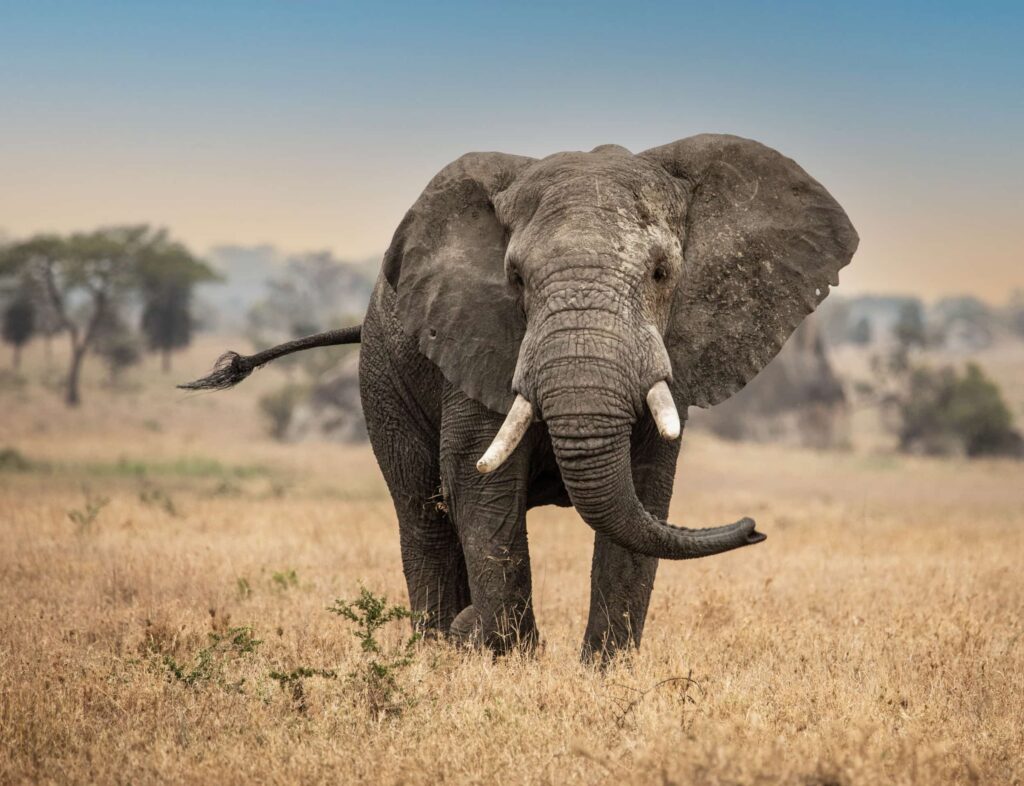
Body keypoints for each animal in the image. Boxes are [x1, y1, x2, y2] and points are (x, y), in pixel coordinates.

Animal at [182, 135, 856, 663]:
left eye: (662, 274)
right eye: (516, 280)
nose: (754, 528)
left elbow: (645, 494)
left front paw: (603, 673)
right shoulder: (476, 339)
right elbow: (477, 484)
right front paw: (506, 658)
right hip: (383, 376)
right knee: (422, 514)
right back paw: (434, 648)